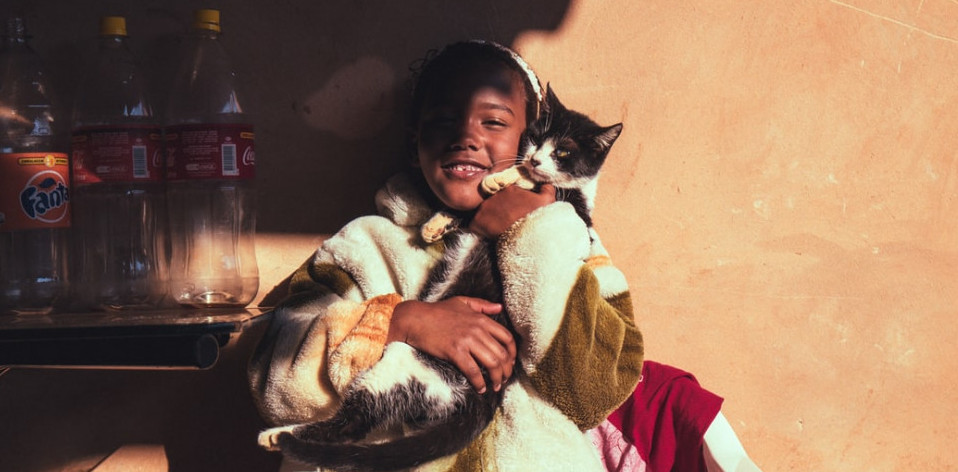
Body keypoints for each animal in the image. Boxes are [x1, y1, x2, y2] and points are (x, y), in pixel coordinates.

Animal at [258, 85, 628, 472]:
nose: (536, 159)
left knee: (353, 422)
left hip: (405, 366)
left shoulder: (571, 208)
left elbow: (543, 187)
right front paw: (437, 222)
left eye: (563, 152)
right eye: (537, 137)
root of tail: (481, 398)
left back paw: (279, 436)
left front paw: (504, 177)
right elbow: (469, 207)